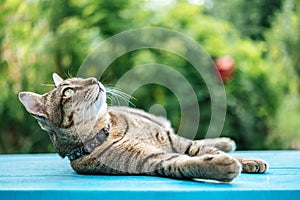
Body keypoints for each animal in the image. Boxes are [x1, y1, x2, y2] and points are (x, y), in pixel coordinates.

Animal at [17, 74, 268, 183]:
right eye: (68, 91)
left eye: (82, 78)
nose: (95, 79)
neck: (107, 130)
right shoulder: (152, 160)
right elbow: (184, 162)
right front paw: (222, 166)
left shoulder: (174, 140)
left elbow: (200, 148)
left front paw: (247, 160)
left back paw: (227, 142)